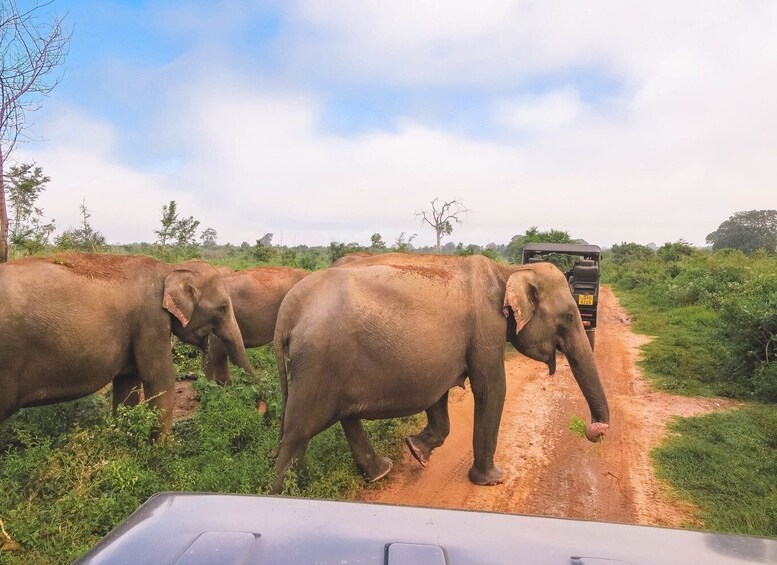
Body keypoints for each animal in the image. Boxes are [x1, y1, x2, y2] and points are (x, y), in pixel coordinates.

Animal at [0, 253, 253, 434]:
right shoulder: (150, 320)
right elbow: (159, 380)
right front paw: (165, 452)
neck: (169, 268)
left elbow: (128, 382)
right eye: (223, 308)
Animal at [270, 253, 608, 492]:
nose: (594, 431)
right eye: (568, 316)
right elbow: (491, 389)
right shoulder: (486, 327)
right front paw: (493, 480)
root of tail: (288, 310)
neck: (508, 270)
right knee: (297, 433)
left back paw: (377, 473)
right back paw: (284, 493)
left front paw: (417, 451)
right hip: (317, 362)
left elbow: (438, 395)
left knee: (342, 417)